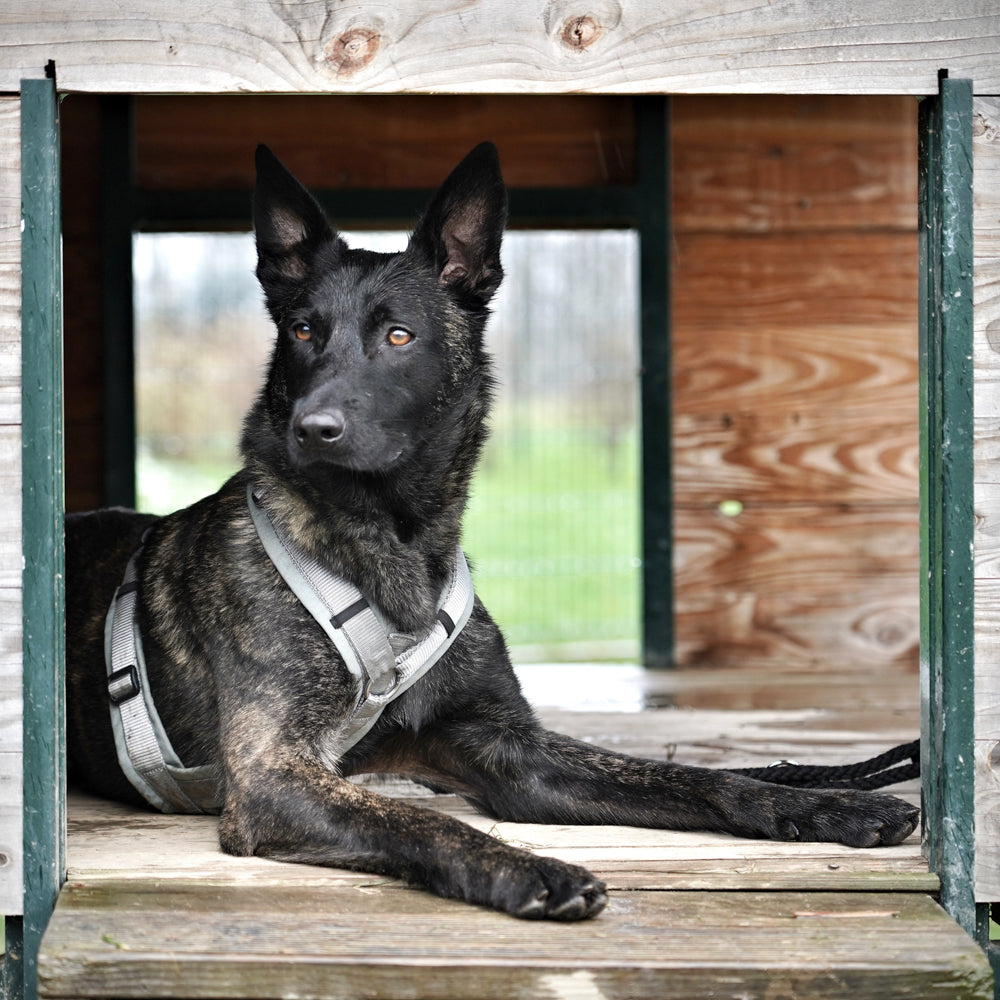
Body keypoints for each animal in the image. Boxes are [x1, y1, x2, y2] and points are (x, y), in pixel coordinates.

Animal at [64, 143, 920, 920]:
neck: (397, 543)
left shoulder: (512, 753)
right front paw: (530, 869)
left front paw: (824, 804)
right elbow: (418, 820)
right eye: (304, 330)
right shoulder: (272, 775)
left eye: (398, 336)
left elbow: (692, 777)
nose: (313, 429)